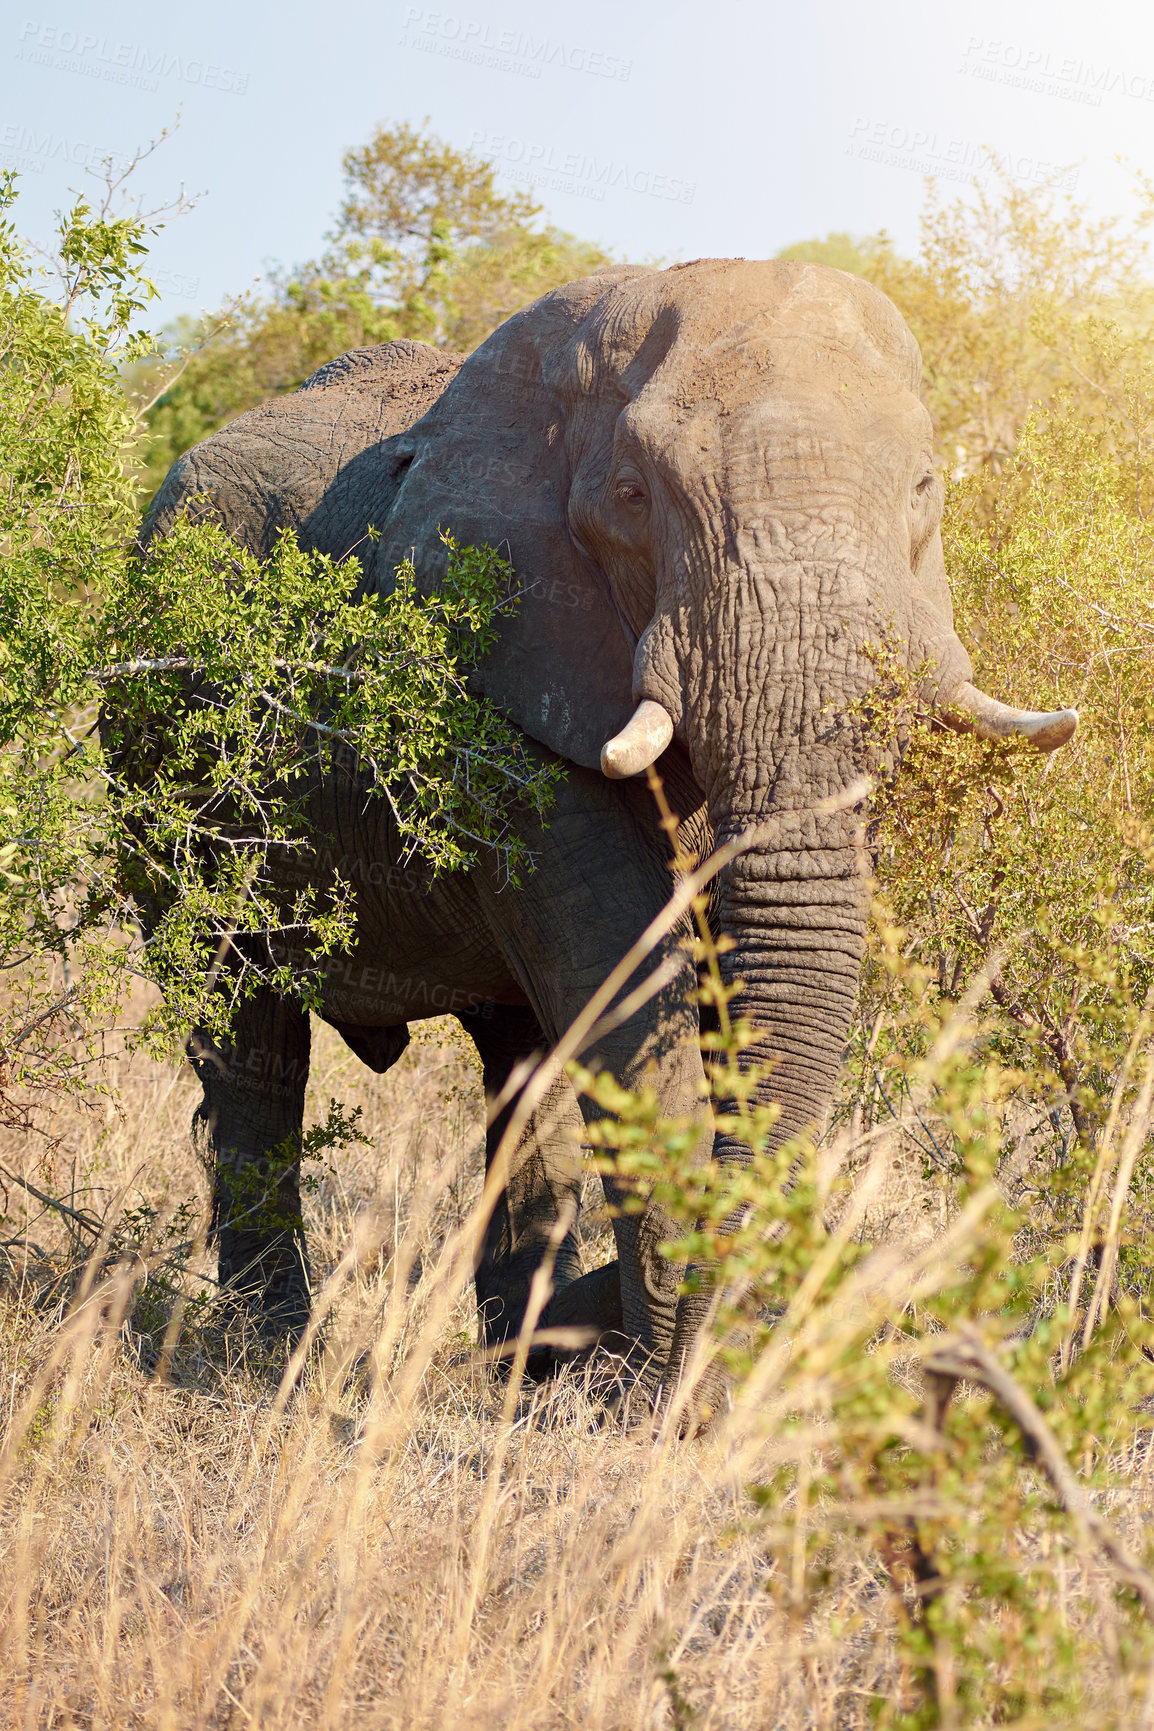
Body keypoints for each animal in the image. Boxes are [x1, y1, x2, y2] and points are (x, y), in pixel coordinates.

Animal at [136, 259, 1076, 1410]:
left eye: (924, 490)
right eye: (632, 495)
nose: (620, 1357)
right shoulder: (501, 653)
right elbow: (629, 987)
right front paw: (663, 1403)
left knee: (519, 1070)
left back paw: (506, 1361)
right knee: (248, 1038)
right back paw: (271, 1358)